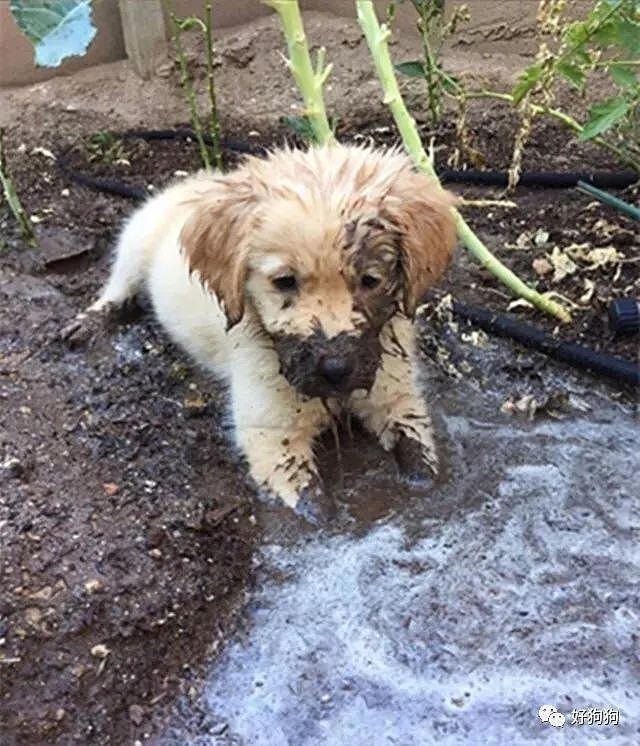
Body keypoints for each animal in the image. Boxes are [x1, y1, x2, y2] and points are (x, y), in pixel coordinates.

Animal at [90, 145, 458, 516]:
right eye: (284, 281)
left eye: (370, 280)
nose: (336, 369)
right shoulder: (270, 434)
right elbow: (314, 506)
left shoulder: (397, 395)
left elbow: (419, 455)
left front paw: (425, 485)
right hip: (136, 237)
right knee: (119, 283)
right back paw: (91, 321)